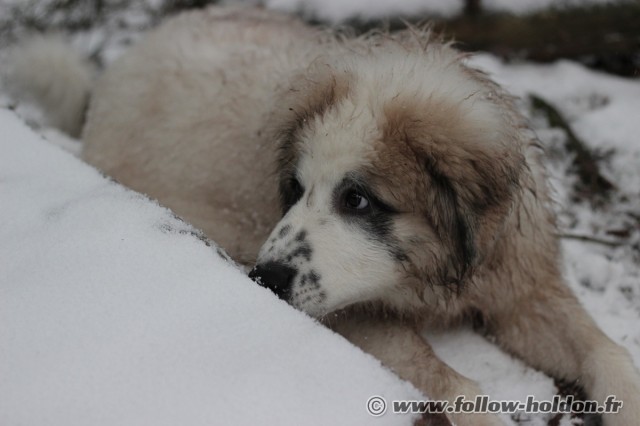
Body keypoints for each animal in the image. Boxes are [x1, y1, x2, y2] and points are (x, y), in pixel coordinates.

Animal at [6, 6, 640, 426]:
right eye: (294, 189)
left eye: (356, 200)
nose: (264, 280)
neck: (434, 274)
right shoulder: (353, 315)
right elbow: (449, 380)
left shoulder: (520, 283)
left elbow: (607, 351)